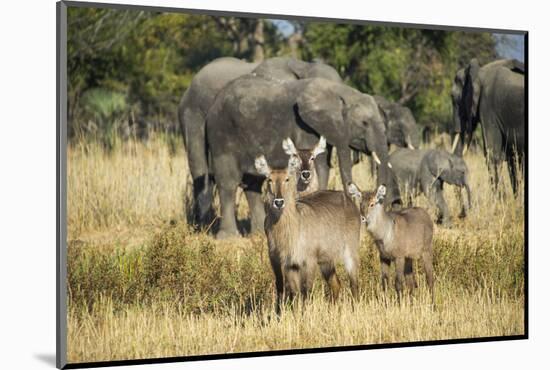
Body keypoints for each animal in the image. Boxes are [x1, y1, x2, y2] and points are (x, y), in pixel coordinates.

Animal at [207, 75, 402, 238]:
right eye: (364, 123)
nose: (393, 203)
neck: (340, 92)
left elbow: (323, 164)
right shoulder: (305, 127)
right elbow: (322, 166)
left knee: (252, 184)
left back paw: (259, 233)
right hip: (221, 133)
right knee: (228, 182)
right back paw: (228, 237)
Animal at [258, 153, 364, 312]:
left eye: (287, 179)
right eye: (269, 179)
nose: (279, 202)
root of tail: (348, 199)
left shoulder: (308, 261)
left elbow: (305, 291)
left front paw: (305, 315)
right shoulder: (286, 262)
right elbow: (289, 291)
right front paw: (289, 315)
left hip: (349, 252)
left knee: (354, 284)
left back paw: (354, 310)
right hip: (326, 260)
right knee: (336, 284)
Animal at [452, 57, 528, 194]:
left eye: (454, 100)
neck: (480, 71)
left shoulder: (488, 107)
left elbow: (492, 155)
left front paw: (500, 198)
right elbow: (512, 159)